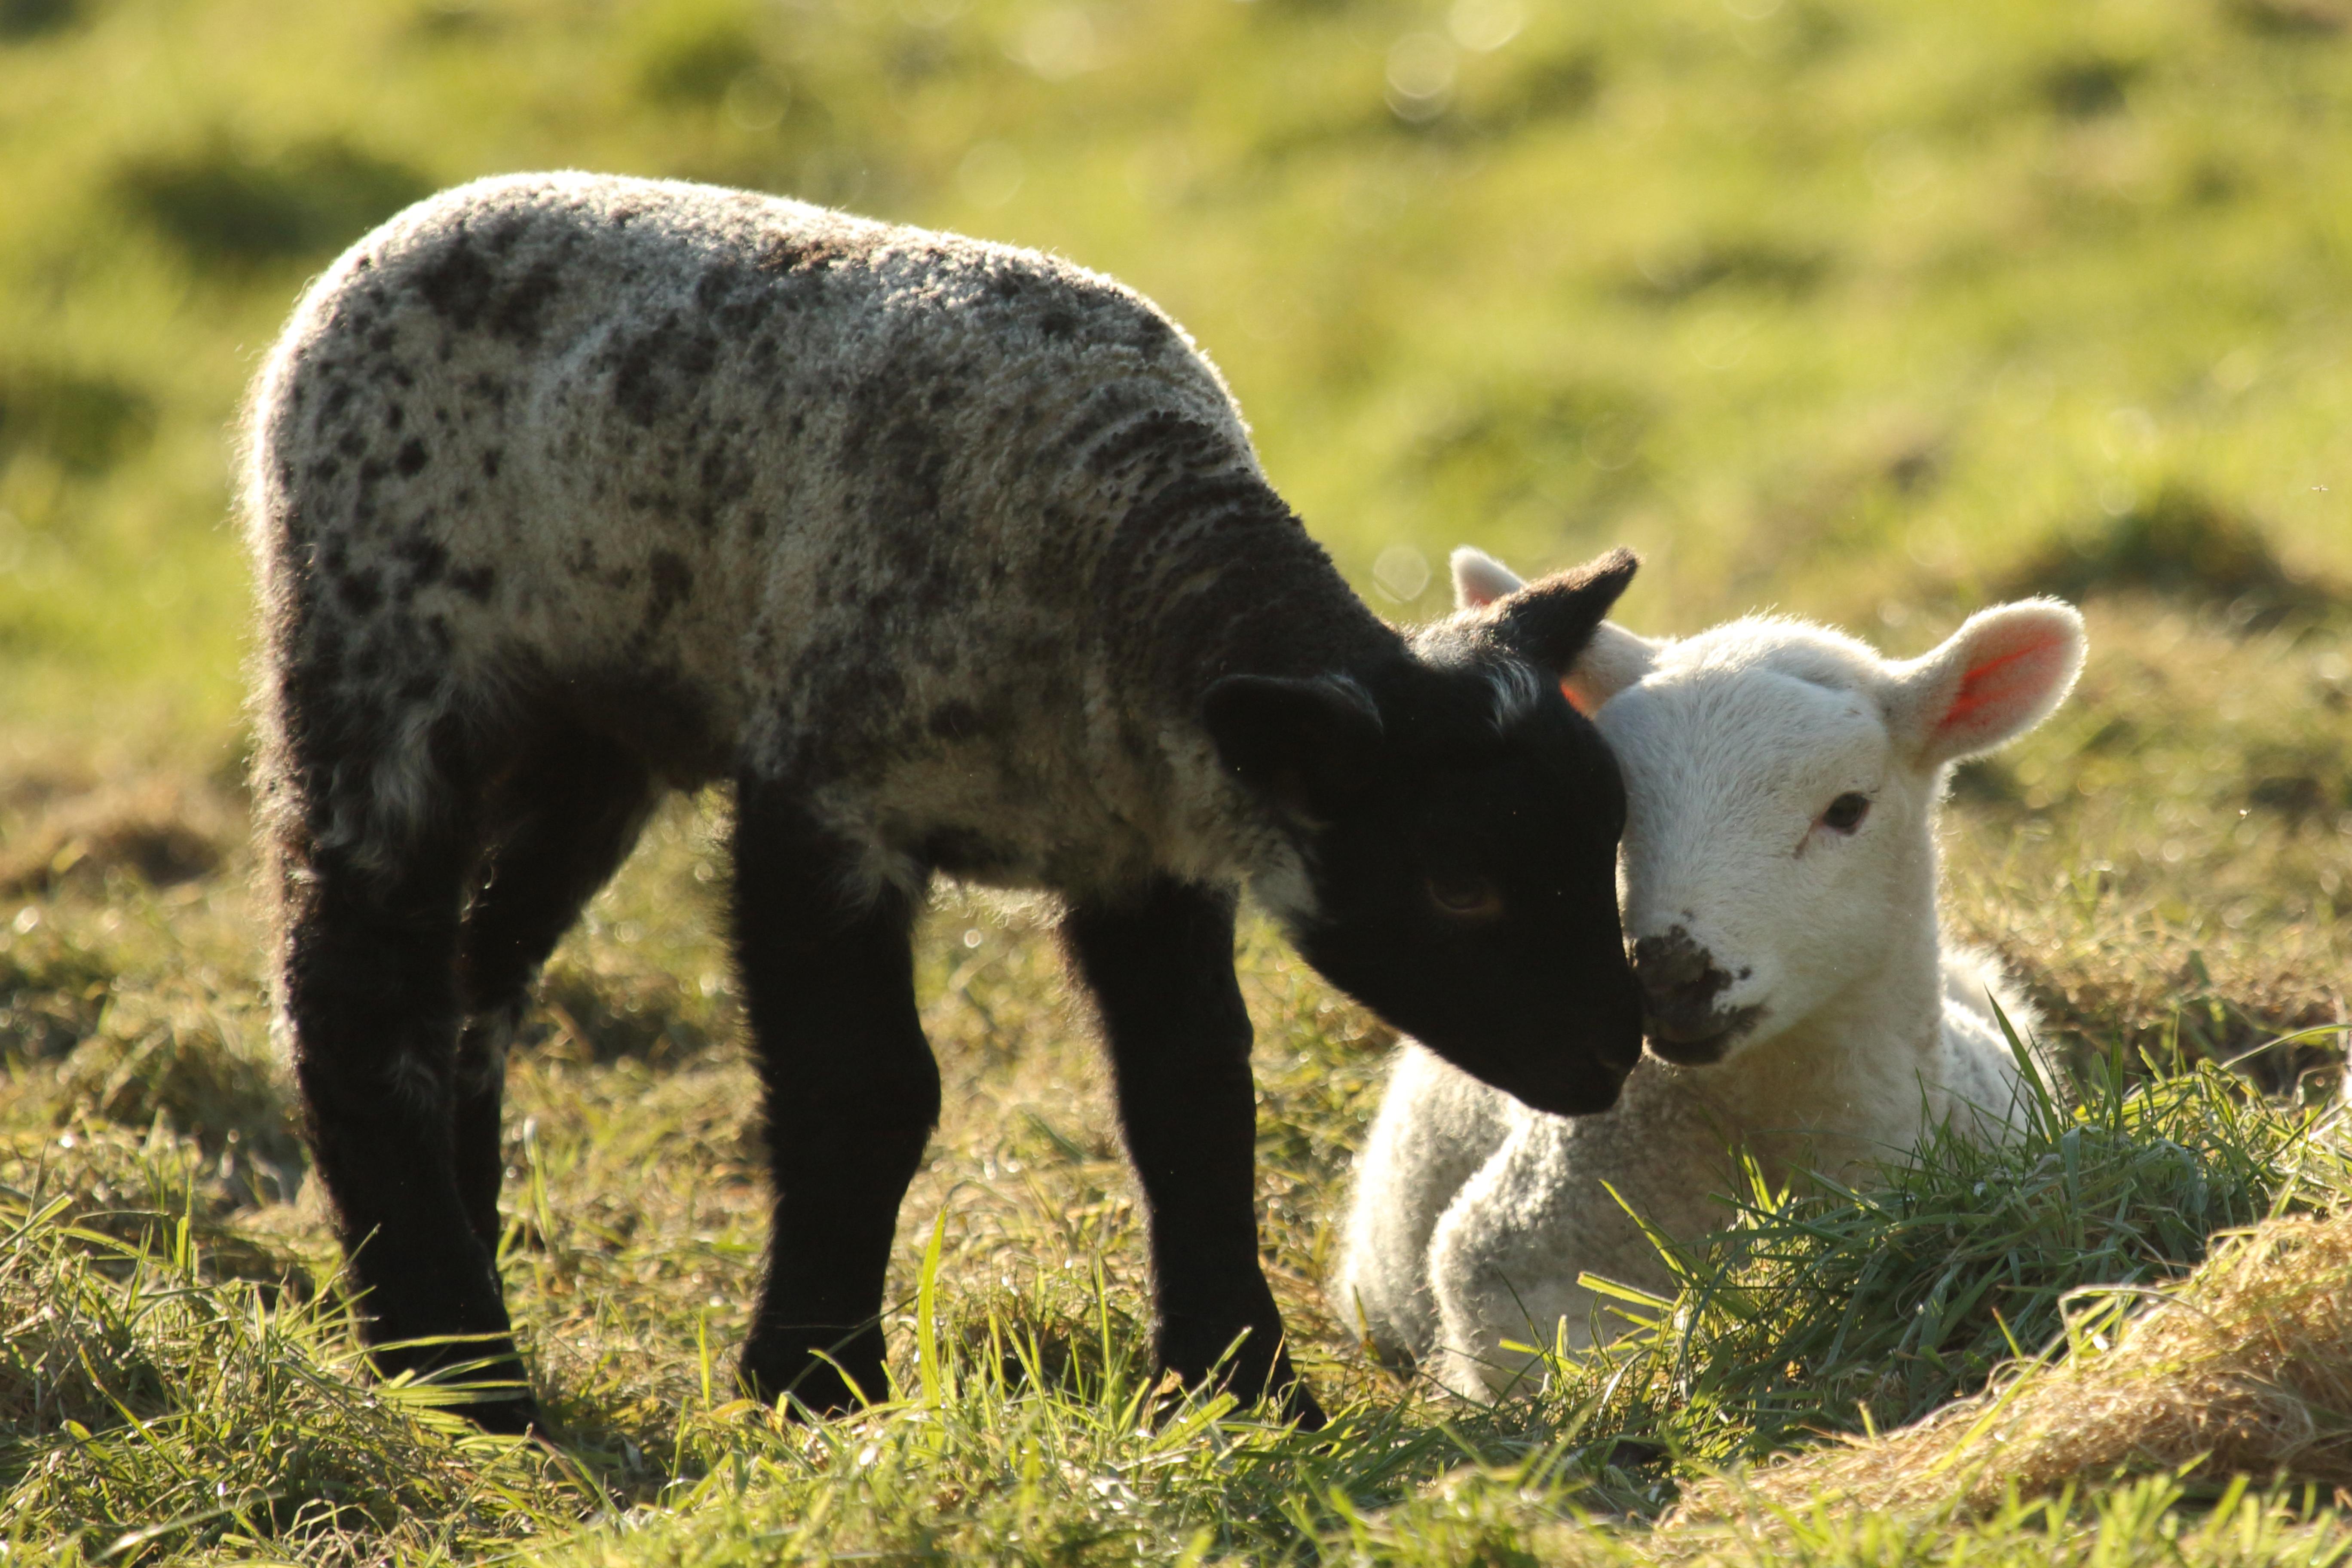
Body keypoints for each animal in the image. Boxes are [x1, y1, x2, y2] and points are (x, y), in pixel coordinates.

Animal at [243, 172, 1649, 1434]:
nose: (1608, 1060)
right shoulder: (820, 801)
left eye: (1608, 847)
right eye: (1457, 887)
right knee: (356, 987)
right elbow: (869, 1088)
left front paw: (1242, 1385)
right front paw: (813, 1379)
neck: (1115, 553)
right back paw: (451, 1363)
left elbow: (1192, 1091)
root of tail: (380, 248)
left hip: (592, 743)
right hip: (380, 669)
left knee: (474, 985)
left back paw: (466, 1282)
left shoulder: (1141, 856)